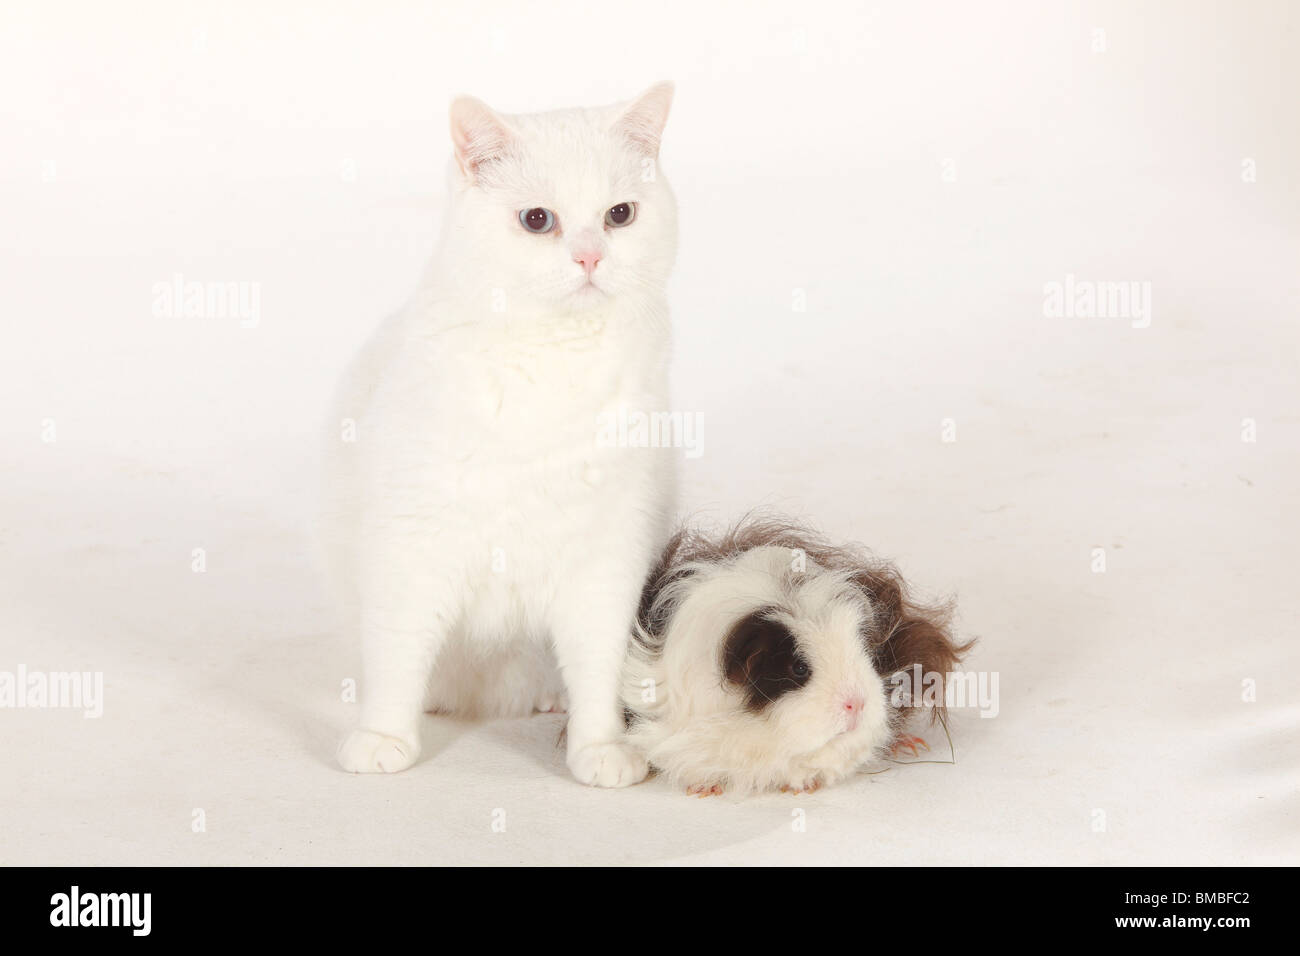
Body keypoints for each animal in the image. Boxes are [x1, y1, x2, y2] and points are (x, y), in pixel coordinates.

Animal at [325, 83, 681, 785]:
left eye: (620, 214)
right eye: (537, 220)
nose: (590, 255)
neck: (551, 358)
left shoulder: (607, 556)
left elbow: (600, 663)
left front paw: (600, 748)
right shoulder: (410, 545)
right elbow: (399, 651)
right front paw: (383, 737)